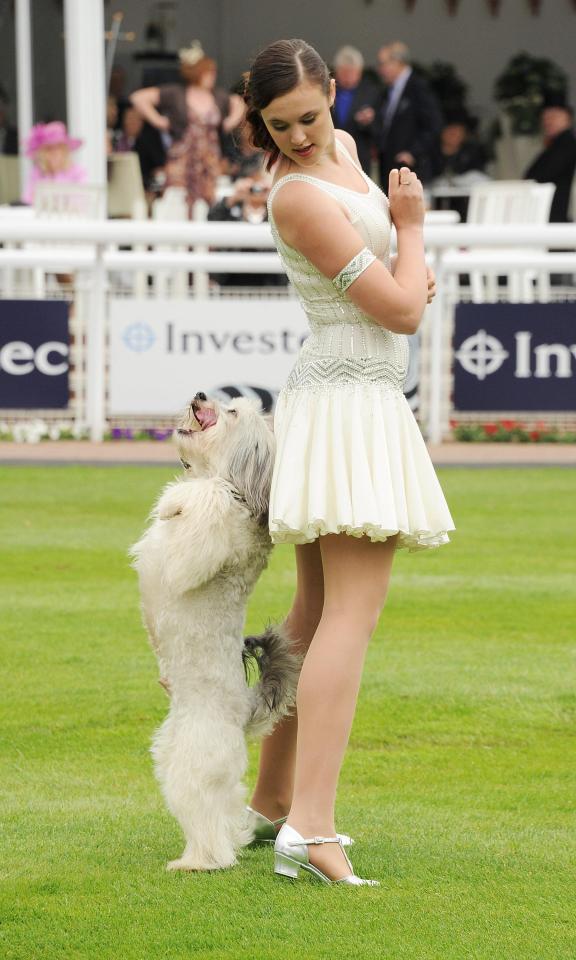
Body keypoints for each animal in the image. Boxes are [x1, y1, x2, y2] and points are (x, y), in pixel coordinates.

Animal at [132, 394, 302, 872]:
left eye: (232, 413)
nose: (201, 397)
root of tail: (246, 707)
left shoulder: (204, 540)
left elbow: (202, 502)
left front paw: (176, 501)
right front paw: (174, 499)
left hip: (197, 760)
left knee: (209, 821)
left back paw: (201, 861)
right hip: (174, 757)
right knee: (219, 810)